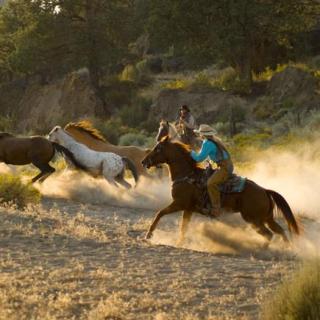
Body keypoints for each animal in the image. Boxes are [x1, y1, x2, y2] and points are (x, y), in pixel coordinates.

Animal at [141, 137, 298, 245]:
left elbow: (159, 213)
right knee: (281, 231)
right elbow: (183, 227)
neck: (187, 175)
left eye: (158, 148)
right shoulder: (188, 209)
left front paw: (148, 235)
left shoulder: (179, 204)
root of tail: (264, 190)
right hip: (266, 218)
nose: (143, 161)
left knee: (269, 235)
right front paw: (179, 243)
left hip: (253, 219)